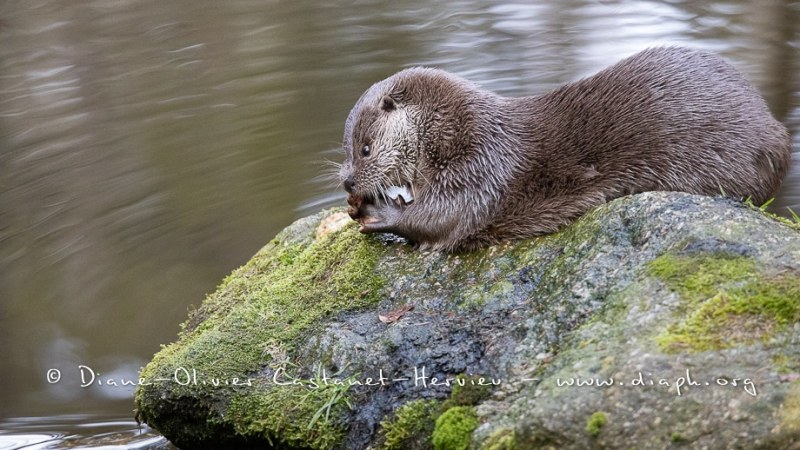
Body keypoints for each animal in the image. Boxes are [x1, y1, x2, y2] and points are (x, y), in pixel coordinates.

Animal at [336, 47, 788, 251]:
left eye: (366, 149)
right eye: (347, 148)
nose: (348, 183)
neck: (456, 131)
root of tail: (776, 134)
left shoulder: (482, 167)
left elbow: (445, 218)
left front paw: (379, 212)